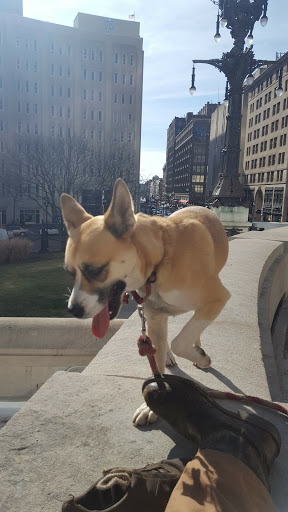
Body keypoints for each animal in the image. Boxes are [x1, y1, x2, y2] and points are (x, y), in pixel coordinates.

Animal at [60, 178, 230, 426]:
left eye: (96, 270)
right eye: (70, 273)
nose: (73, 310)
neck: (159, 262)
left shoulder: (217, 297)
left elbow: (181, 341)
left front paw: (200, 356)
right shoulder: (156, 318)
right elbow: (157, 364)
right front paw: (153, 405)